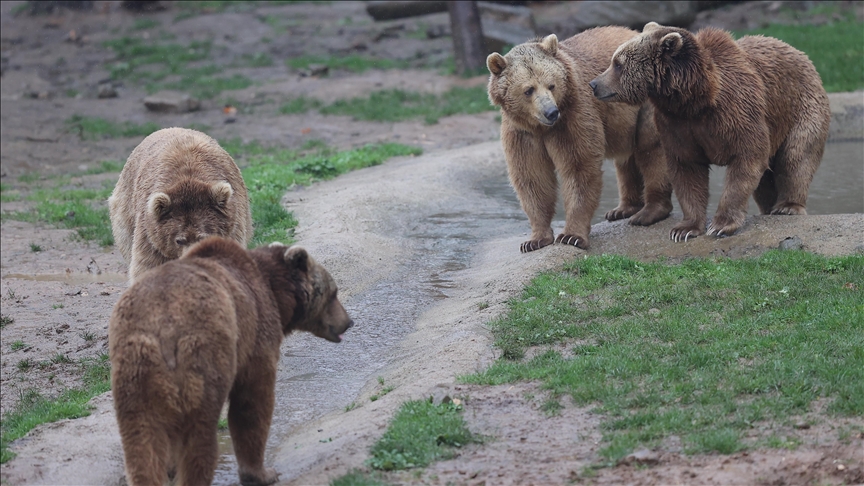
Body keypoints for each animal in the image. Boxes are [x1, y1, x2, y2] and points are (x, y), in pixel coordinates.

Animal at [108, 127, 254, 283]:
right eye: (179, 240)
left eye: (202, 237)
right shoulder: (150, 231)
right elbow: (148, 264)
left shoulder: (234, 224)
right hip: (126, 203)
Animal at [109, 237, 353, 486]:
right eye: (334, 293)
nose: (348, 322)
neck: (275, 292)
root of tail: (163, 325)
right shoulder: (255, 331)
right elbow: (252, 401)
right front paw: (263, 473)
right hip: (202, 356)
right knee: (199, 434)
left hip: (135, 369)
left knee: (141, 437)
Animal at [487, 27, 673, 253]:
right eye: (528, 90)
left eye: (551, 85)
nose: (551, 112)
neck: (541, 128)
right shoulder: (521, 132)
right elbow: (532, 177)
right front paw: (535, 240)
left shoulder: (572, 115)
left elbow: (578, 167)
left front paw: (571, 236)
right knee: (626, 160)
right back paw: (622, 209)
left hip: (645, 101)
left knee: (651, 149)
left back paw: (651, 211)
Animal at [589, 22, 831, 242]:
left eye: (618, 63)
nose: (594, 84)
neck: (695, 100)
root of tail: (800, 53)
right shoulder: (677, 124)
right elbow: (687, 169)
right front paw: (685, 229)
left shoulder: (738, 111)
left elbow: (747, 158)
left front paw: (721, 225)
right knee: (765, 182)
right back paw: (770, 207)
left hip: (802, 108)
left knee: (795, 157)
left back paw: (787, 206)